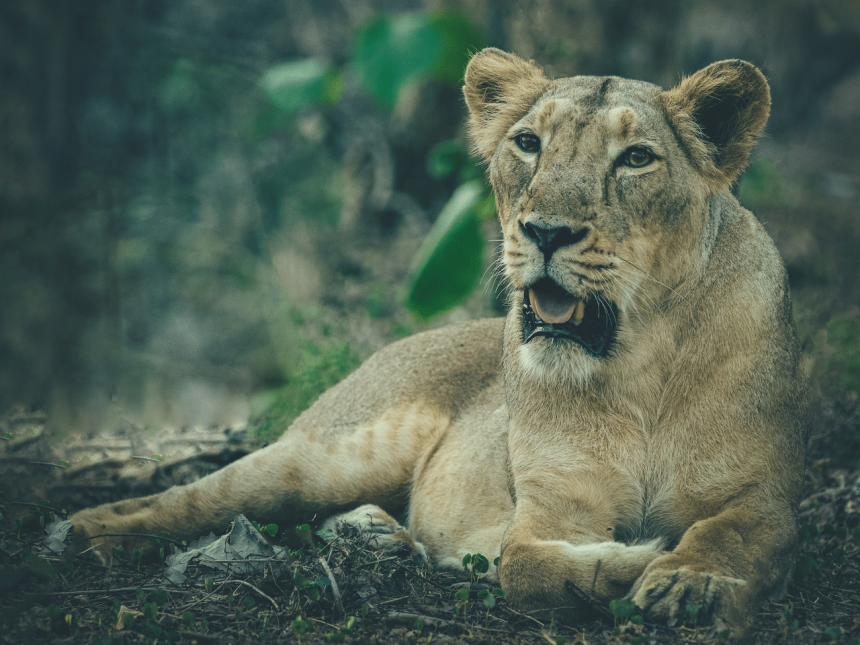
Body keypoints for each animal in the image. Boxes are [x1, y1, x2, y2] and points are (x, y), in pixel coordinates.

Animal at [70, 49, 809, 626]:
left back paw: (378, 536)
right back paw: (85, 534)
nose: (545, 232)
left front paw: (691, 580)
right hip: (327, 456)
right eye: (528, 144)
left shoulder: (766, 496)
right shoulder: (547, 509)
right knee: (185, 499)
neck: (639, 363)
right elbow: (525, 567)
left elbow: (732, 534)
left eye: (636, 159)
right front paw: (641, 562)